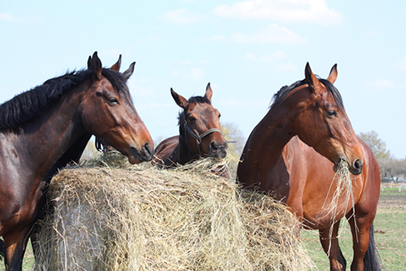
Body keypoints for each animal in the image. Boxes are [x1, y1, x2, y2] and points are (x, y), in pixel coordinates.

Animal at [236, 63, 382, 271]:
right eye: (332, 112)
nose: (357, 161)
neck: (264, 165)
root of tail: (369, 153)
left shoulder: (290, 228)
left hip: (361, 220)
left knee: (357, 263)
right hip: (329, 223)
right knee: (338, 261)